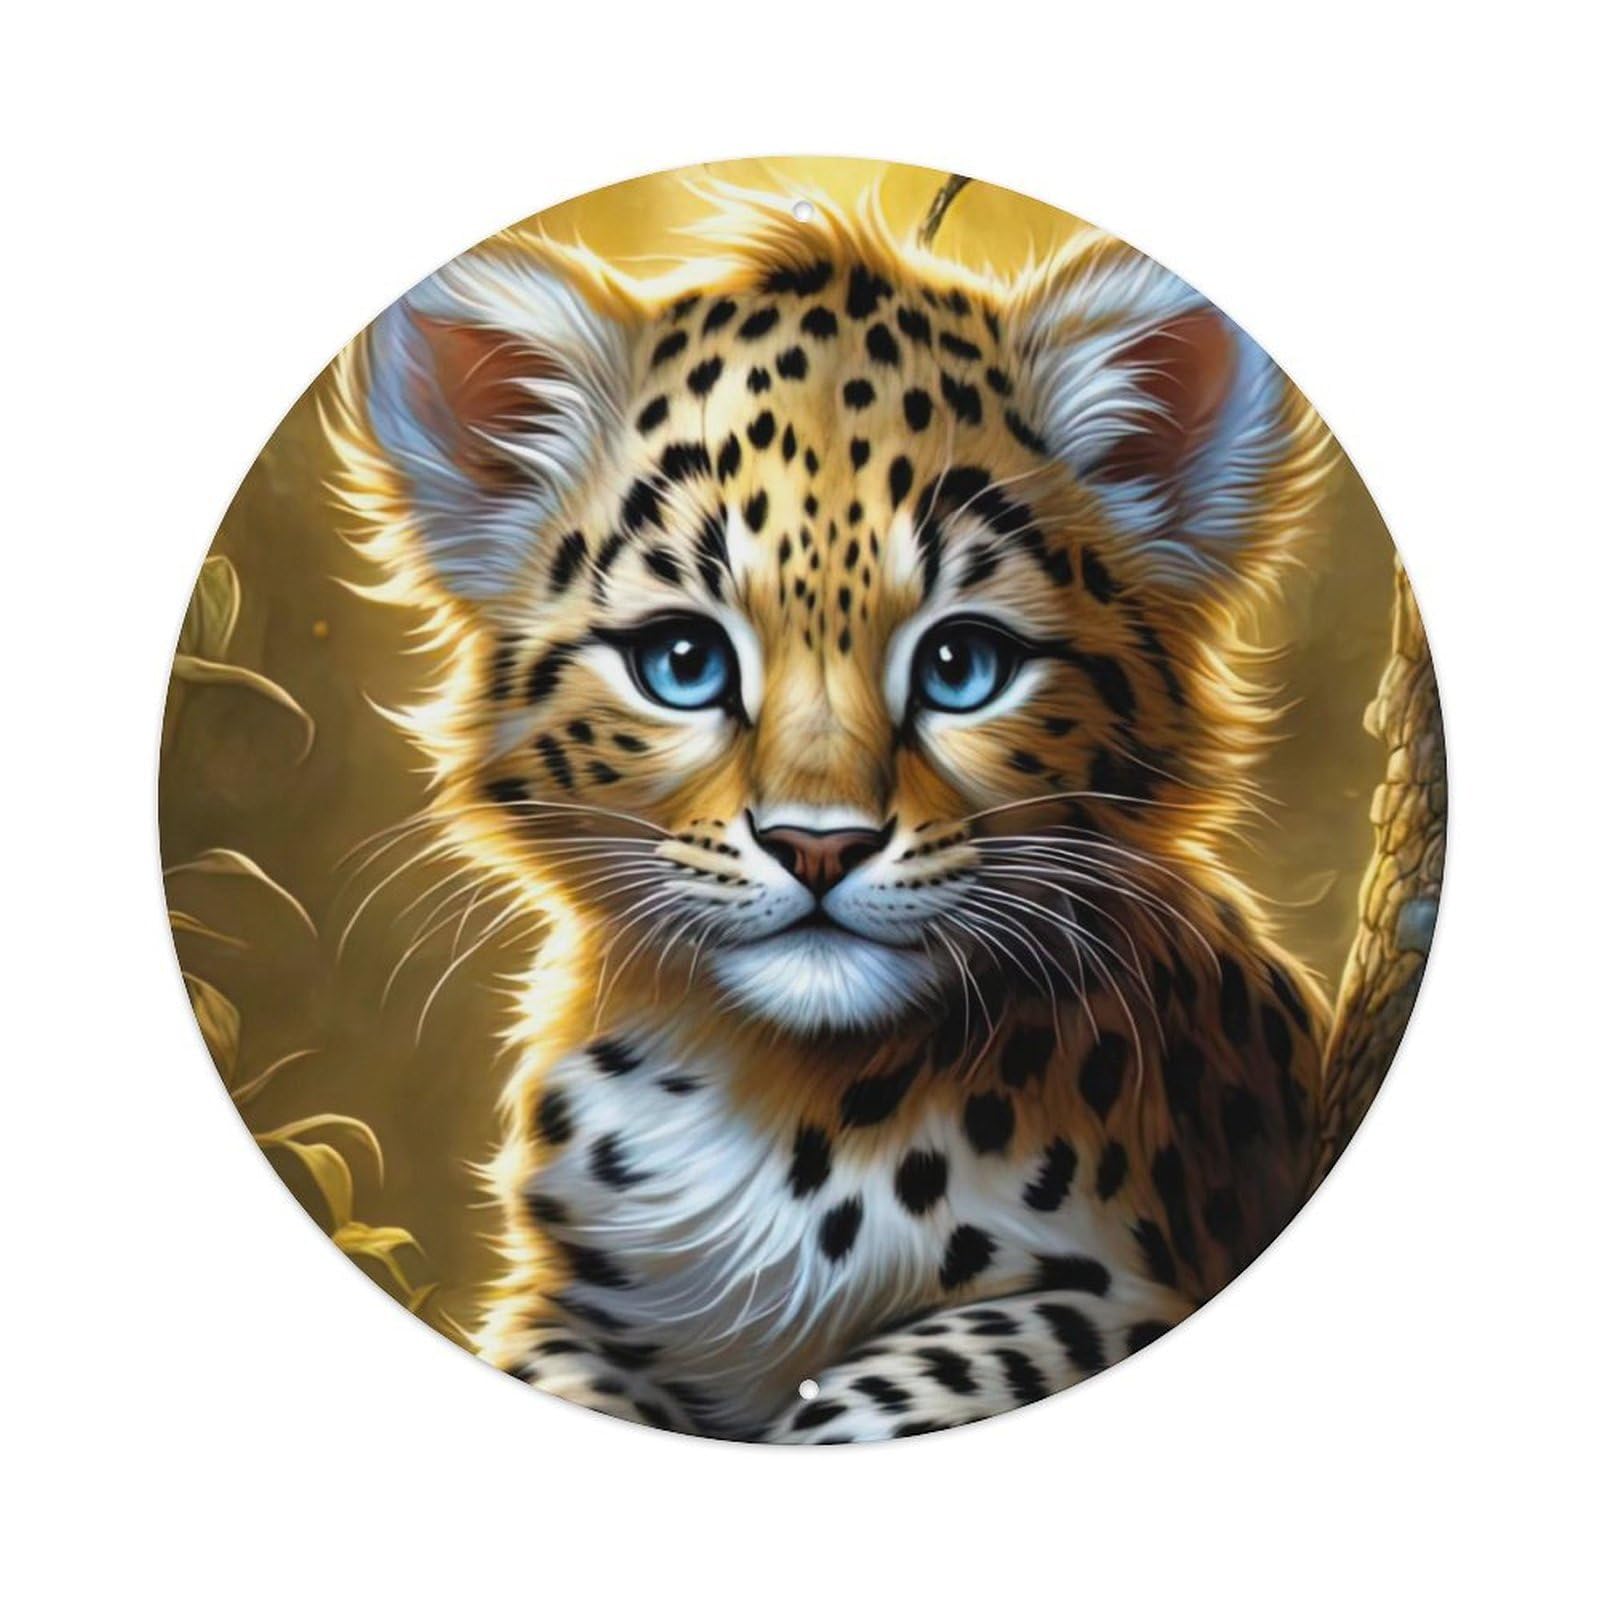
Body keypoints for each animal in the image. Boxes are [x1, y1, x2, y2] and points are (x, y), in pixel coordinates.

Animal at [328, 184, 1333, 1443]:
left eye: (960, 664)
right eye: (683, 661)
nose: (819, 845)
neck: (771, 1104)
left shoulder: (1119, 1293)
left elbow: (925, 1372)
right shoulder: (566, 1311)